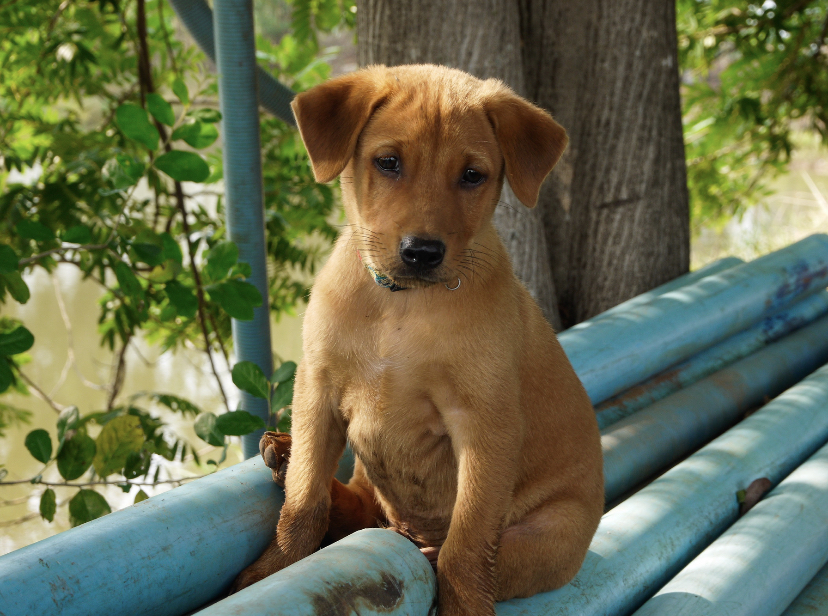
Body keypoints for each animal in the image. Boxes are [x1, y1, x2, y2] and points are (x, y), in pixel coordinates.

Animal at [233, 65, 600, 612]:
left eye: (472, 175)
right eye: (388, 162)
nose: (422, 252)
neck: (401, 306)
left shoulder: (484, 425)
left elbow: (466, 552)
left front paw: (464, 610)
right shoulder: (318, 389)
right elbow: (302, 504)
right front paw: (271, 572)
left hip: (550, 535)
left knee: (459, 555)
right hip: (369, 468)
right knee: (358, 504)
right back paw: (284, 454)